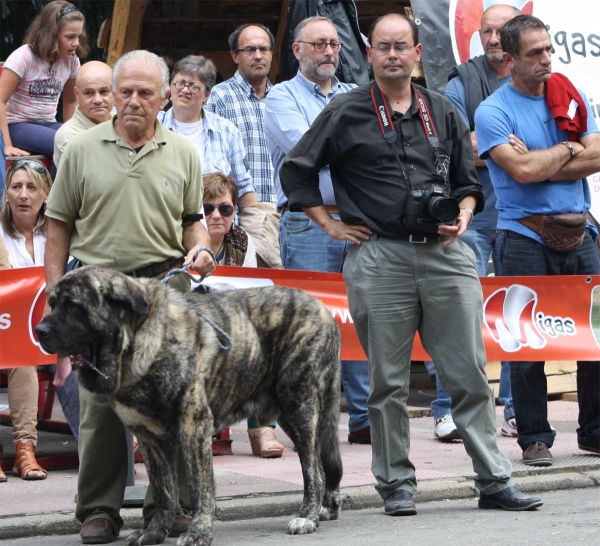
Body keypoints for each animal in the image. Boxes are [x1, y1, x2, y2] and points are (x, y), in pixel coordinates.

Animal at [36, 264, 342, 544]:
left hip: (299, 406)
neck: (137, 341)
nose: (39, 330)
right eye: (52, 304)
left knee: (313, 468)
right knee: (322, 462)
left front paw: (198, 532)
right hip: (295, 414)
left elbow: (198, 486)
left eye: (73, 307)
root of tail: (324, 309)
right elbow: (163, 491)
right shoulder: (150, 439)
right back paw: (325, 508)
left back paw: (307, 516)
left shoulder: (194, 427)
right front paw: (154, 533)